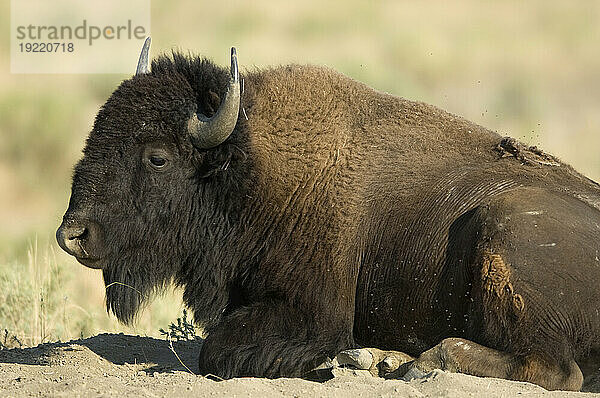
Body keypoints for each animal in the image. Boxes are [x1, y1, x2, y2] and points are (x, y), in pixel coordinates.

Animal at [57, 38, 600, 390]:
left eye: (158, 157)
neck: (252, 168)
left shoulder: (312, 313)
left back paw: (415, 363)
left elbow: (217, 350)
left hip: (499, 230)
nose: (73, 234)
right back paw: (379, 359)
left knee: (556, 369)